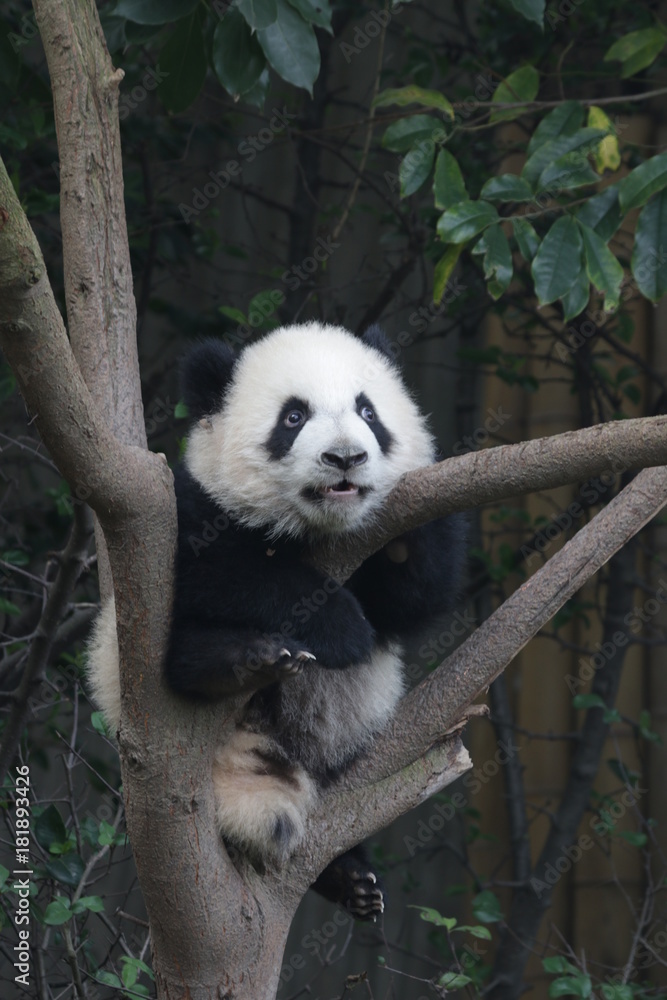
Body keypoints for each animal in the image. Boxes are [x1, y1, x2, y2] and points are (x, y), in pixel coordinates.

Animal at [87, 322, 464, 920]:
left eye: (368, 410)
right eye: (293, 418)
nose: (346, 458)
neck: (317, 529)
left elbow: (419, 594)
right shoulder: (183, 510)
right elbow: (218, 569)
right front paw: (340, 625)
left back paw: (351, 879)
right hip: (118, 655)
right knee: (177, 648)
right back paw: (239, 662)